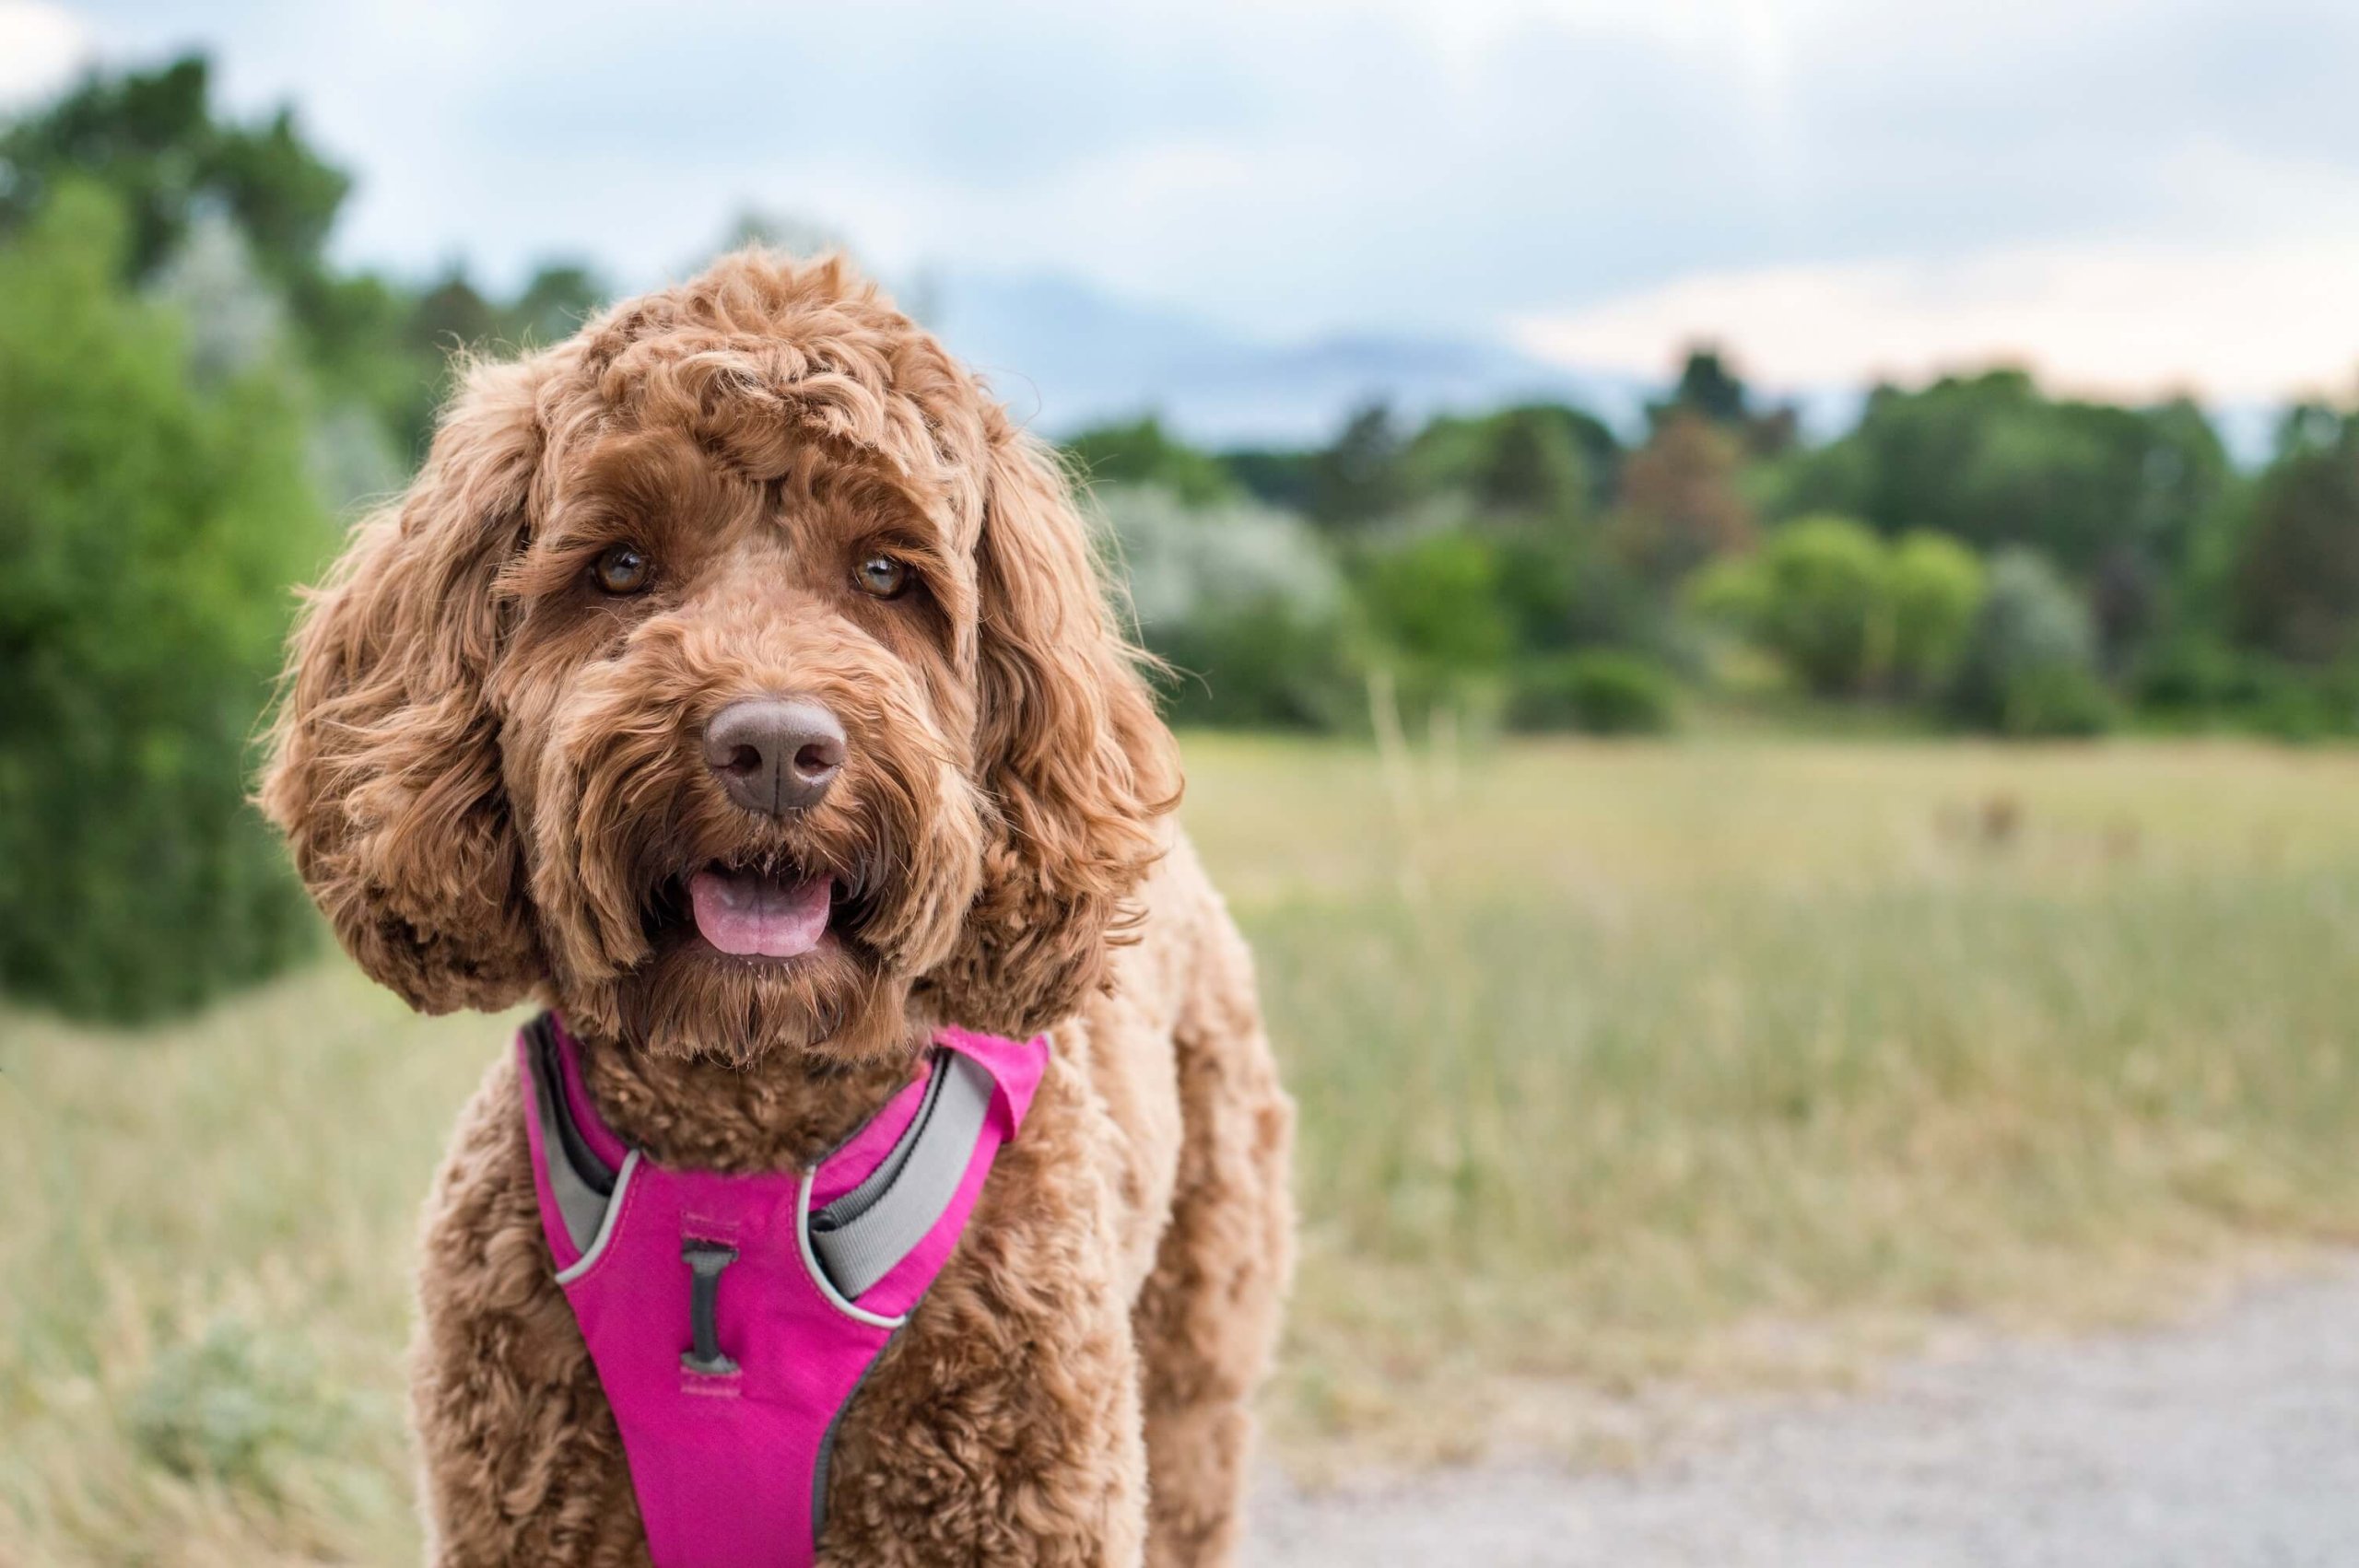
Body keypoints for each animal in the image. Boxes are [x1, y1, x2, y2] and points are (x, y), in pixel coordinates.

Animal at [267, 251, 1302, 1556]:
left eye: (885, 572)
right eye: (620, 565)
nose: (772, 749)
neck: (742, 1136)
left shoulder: (1023, 1496)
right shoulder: (525, 1501)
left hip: (1195, 1365)